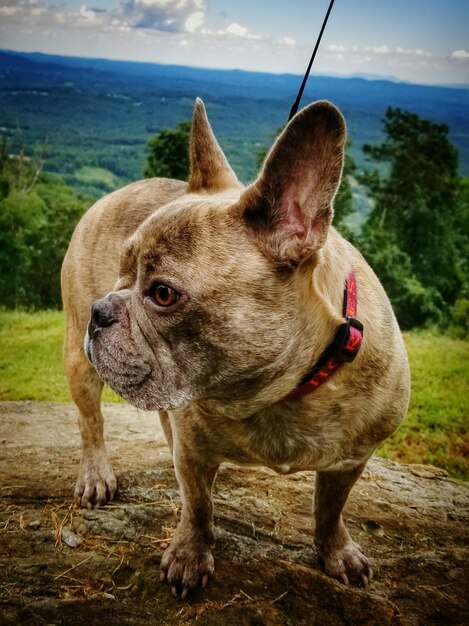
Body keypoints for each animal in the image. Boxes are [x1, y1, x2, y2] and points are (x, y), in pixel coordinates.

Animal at [61, 97, 410, 596]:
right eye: (120, 274)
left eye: (162, 294)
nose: (101, 309)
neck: (282, 392)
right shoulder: (194, 452)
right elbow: (198, 507)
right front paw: (190, 556)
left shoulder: (350, 461)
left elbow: (330, 509)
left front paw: (336, 552)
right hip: (79, 360)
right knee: (91, 420)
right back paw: (95, 475)